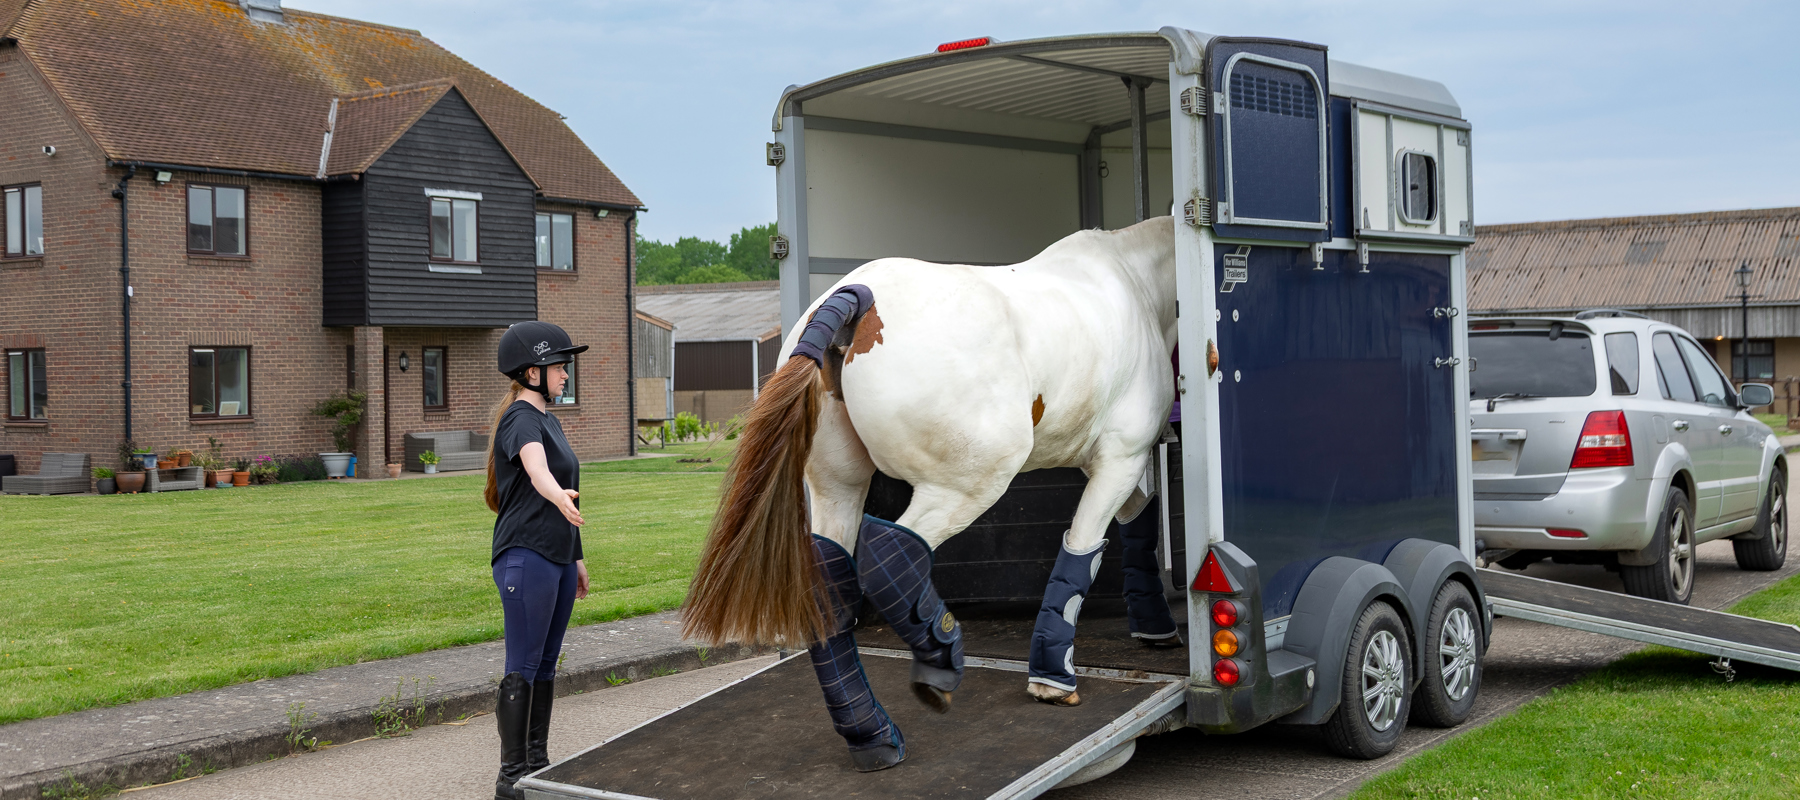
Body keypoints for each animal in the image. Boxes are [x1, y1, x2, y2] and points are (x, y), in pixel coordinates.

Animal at [682, 216, 1180, 771]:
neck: (1135, 282)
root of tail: (859, 297)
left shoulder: (1121, 463)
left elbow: (1137, 524)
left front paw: (1156, 626)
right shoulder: (1121, 458)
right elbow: (1084, 548)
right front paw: (1053, 677)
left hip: (839, 489)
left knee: (831, 584)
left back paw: (872, 734)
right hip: (967, 483)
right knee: (892, 555)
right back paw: (940, 656)